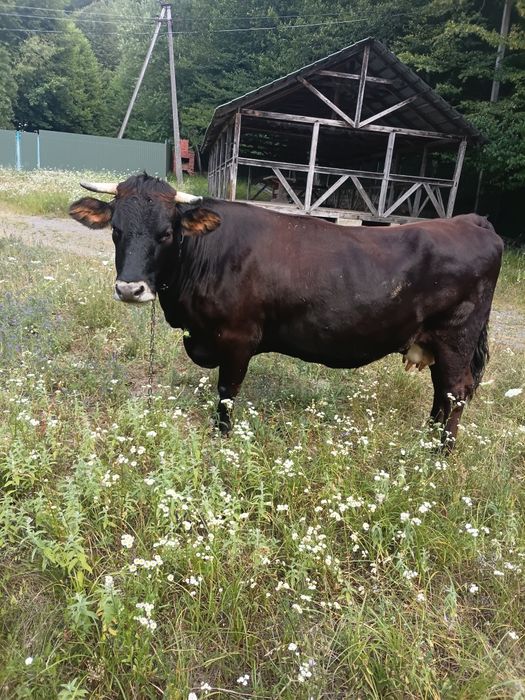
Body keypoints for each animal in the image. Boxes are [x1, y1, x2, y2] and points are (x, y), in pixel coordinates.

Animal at [69, 173, 503, 450]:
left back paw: (440, 454)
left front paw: (221, 440)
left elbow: (227, 393)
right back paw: (427, 442)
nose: (130, 288)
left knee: (455, 392)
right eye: (116, 231)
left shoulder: (238, 338)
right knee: (442, 394)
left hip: (456, 337)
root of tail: (472, 221)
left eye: (166, 233)